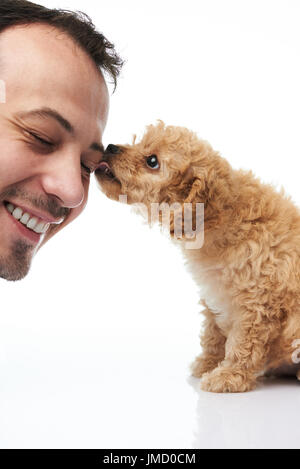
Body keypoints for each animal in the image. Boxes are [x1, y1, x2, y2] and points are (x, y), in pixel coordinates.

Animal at [95, 119, 300, 392]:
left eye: (152, 161)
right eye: (139, 141)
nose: (110, 147)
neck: (222, 219)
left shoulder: (257, 300)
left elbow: (244, 343)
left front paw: (228, 377)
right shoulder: (214, 295)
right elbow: (213, 334)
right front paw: (207, 364)